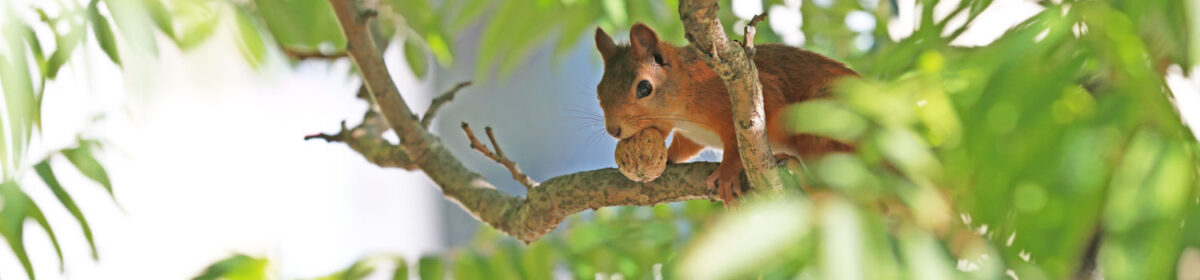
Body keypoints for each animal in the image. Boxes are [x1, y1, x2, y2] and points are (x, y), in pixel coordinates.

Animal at [595, 22, 859, 204]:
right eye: (598, 92)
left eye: (644, 88)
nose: (613, 130)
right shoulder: (691, 134)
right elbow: (684, 147)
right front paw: (666, 159)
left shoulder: (750, 96)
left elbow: (736, 146)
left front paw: (727, 173)